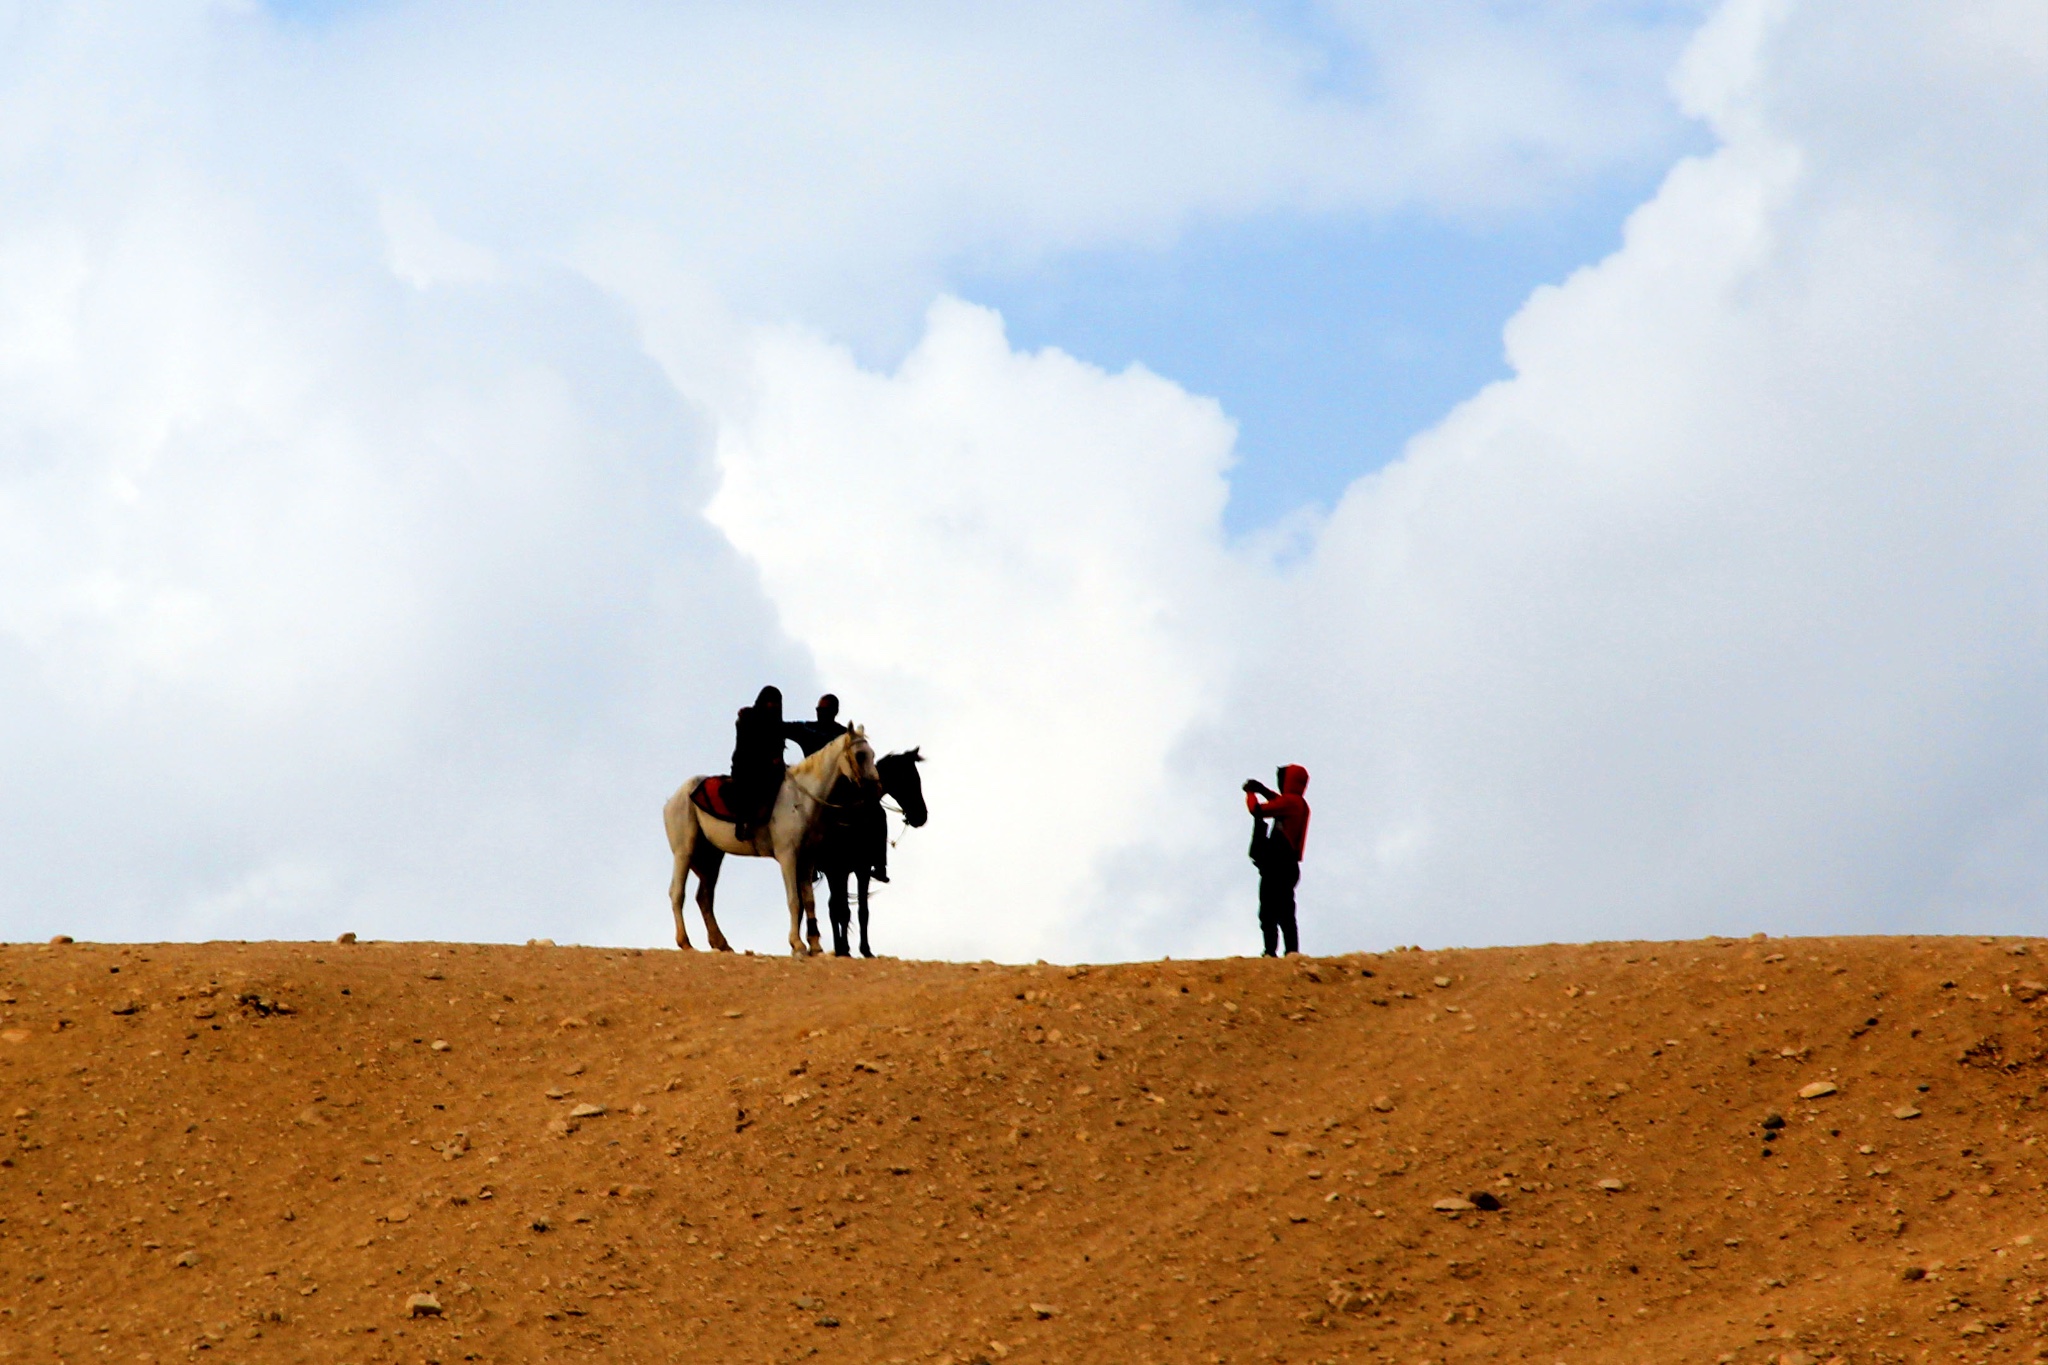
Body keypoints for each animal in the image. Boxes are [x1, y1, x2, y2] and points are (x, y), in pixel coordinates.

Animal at [659, 724, 876, 961]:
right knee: (677, 892)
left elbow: (809, 900)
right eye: (860, 754)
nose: (875, 787)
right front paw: (797, 945)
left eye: (872, 754)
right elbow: (794, 900)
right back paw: (685, 943)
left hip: (712, 857)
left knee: (704, 898)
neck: (800, 800)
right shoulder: (788, 856)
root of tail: (673, 799)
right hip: (684, 852)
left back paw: (722, 944)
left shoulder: (807, 859)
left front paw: (816, 947)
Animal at [806, 749, 929, 961]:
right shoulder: (835, 870)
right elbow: (840, 910)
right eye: (908, 778)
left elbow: (862, 911)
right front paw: (843, 950)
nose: (921, 816)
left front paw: (865, 950)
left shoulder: (861, 869)